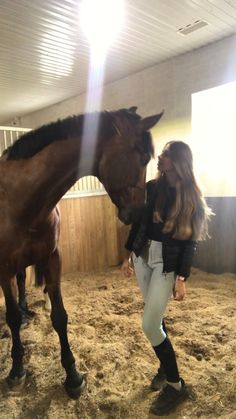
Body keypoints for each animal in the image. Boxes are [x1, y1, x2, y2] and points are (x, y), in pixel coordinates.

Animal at [0, 106, 162, 398]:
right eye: (143, 157)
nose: (138, 214)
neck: (18, 199)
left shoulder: (52, 259)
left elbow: (59, 317)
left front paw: (73, 375)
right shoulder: (3, 268)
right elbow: (12, 318)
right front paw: (17, 370)